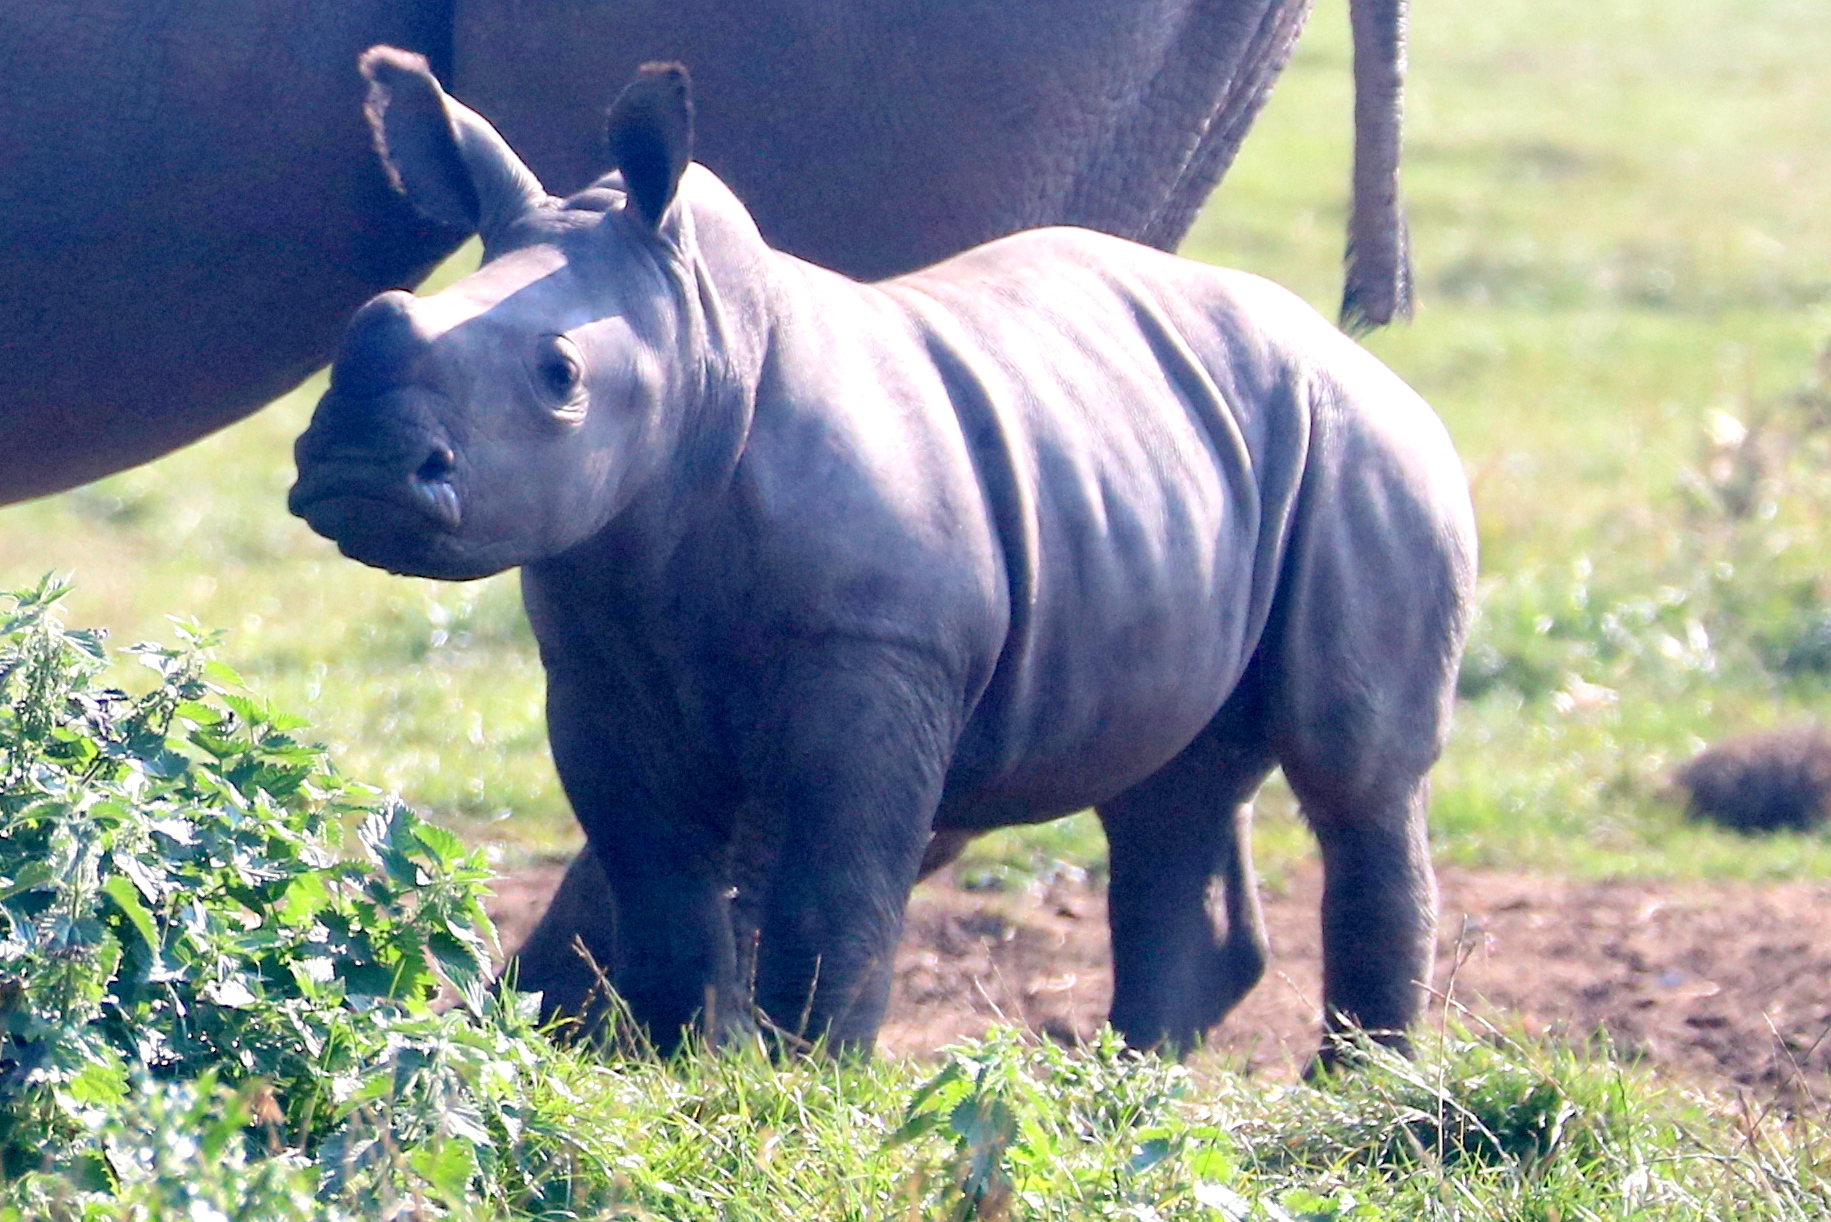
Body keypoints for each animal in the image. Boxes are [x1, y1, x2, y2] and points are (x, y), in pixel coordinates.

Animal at [291, 51, 1475, 1059]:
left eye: (560, 376)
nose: (360, 464)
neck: (704, 339)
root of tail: (1364, 361)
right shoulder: (595, 658)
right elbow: (656, 881)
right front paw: (676, 1060)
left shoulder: (880, 645)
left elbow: (838, 881)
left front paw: (807, 1076)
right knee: (1170, 783)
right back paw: (1124, 1086)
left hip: (1368, 455)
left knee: (1353, 773)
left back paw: (1356, 1085)